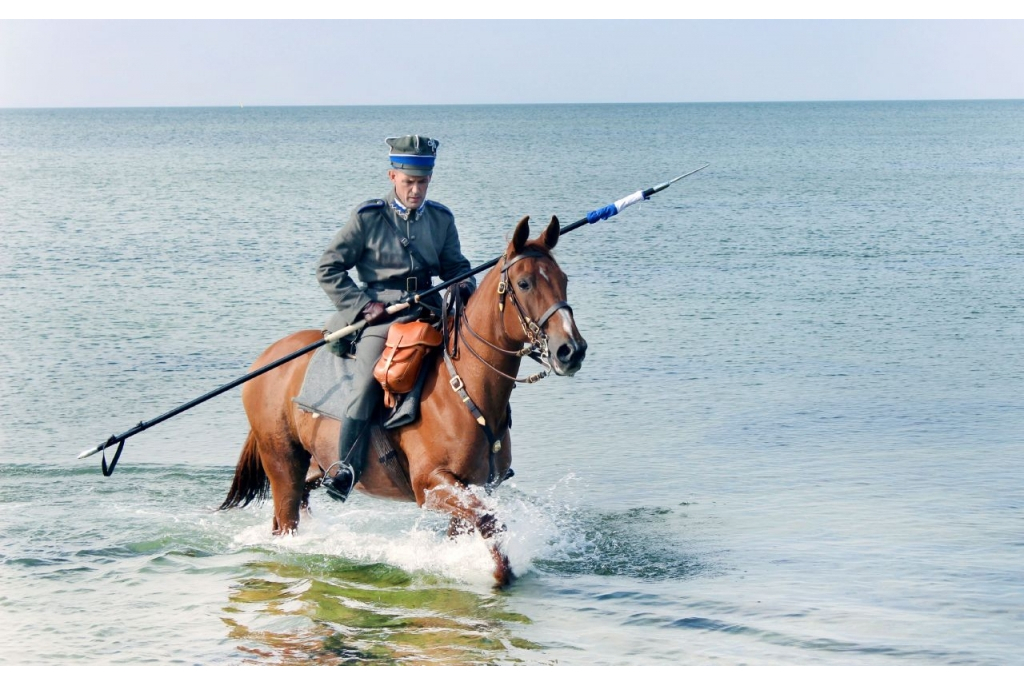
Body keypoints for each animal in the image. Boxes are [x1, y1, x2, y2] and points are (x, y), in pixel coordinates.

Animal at [220, 216, 589, 585]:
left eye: (564, 280)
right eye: (524, 283)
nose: (571, 350)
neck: (463, 389)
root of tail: (265, 360)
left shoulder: (472, 487)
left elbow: (475, 526)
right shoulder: (431, 485)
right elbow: (489, 522)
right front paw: (500, 575)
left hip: (309, 470)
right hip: (283, 466)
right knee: (285, 521)